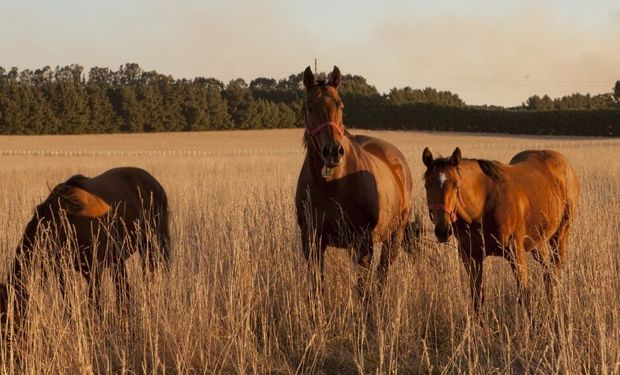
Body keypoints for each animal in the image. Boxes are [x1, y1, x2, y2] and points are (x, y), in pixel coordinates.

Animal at [0, 167, 170, 326]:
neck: (62, 223)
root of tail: (156, 184)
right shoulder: (61, 271)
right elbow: (67, 301)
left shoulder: (93, 270)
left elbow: (94, 303)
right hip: (121, 257)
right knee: (123, 286)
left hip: (155, 244)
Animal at [294, 65, 414, 300]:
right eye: (309, 107)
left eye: (340, 105)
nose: (332, 152)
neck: (331, 185)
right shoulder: (312, 241)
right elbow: (317, 287)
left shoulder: (363, 243)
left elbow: (363, 289)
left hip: (393, 236)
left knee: (382, 274)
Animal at [424, 148, 580, 312]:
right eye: (427, 185)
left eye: (456, 185)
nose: (443, 231)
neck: (483, 206)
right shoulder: (471, 256)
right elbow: (477, 298)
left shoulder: (515, 252)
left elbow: (524, 295)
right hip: (538, 243)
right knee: (548, 273)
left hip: (560, 235)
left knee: (554, 274)